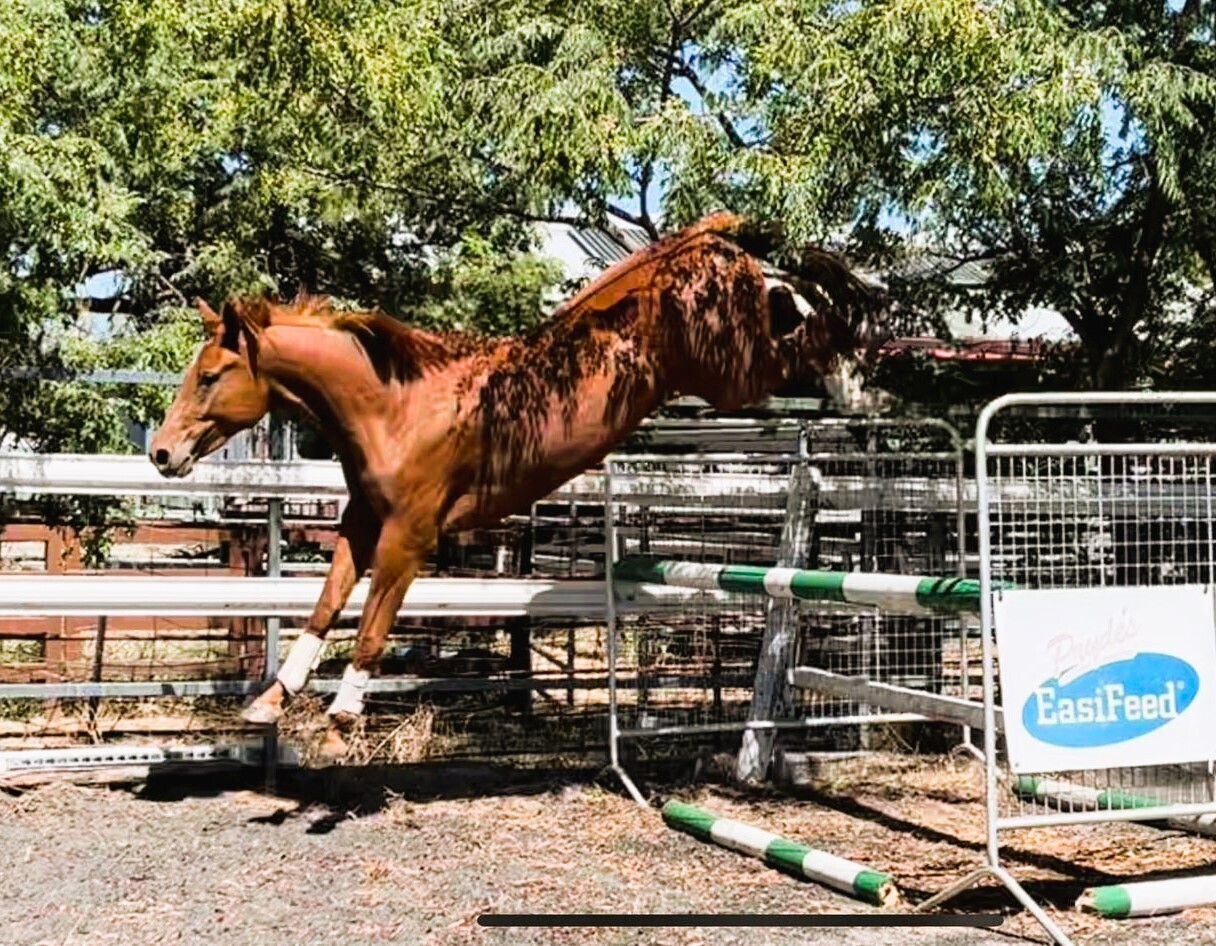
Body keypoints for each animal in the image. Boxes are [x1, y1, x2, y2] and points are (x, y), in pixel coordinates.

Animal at [148, 211, 890, 759]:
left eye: (210, 375)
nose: (161, 453)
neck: (395, 404)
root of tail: (706, 239)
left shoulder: (408, 539)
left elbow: (372, 624)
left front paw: (340, 720)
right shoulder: (362, 524)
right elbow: (327, 606)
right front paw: (269, 700)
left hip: (731, 370)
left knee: (806, 323)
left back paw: (860, 378)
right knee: (791, 301)